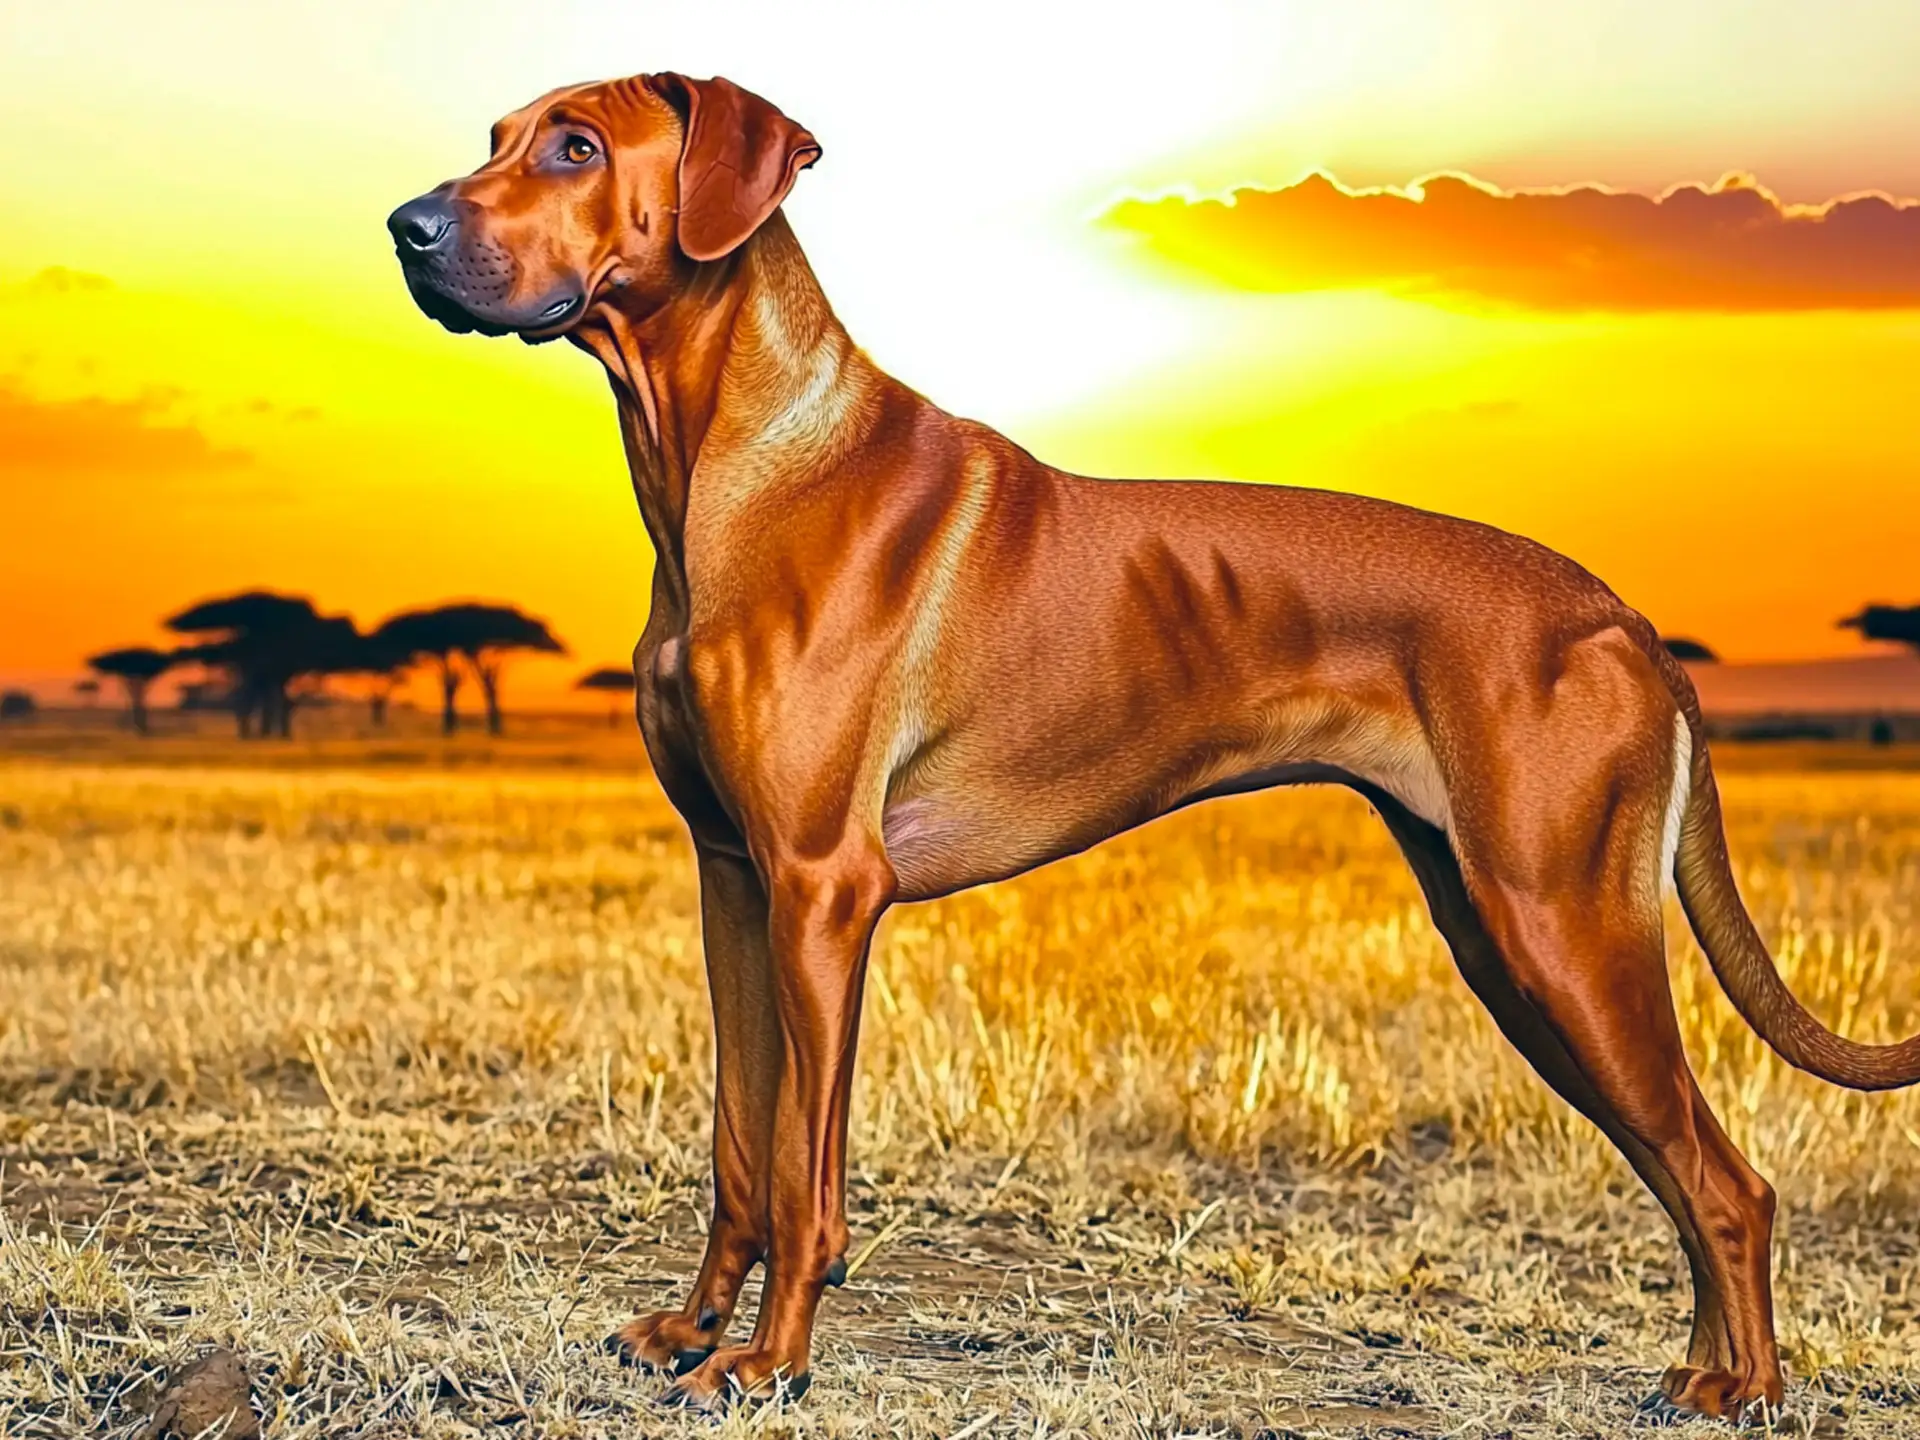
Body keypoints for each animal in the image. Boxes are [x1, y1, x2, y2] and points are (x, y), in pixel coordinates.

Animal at [389, 73, 1920, 1413]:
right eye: (498, 136)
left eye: (579, 148)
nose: (406, 225)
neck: (731, 463)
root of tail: (1629, 619)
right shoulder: (733, 879)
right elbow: (737, 1147)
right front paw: (693, 1330)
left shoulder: (824, 890)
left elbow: (808, 1173)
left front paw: (767, 1363)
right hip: (1511, 945)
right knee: (1687, 1173)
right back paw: (1701, 1372)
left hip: (1563, 936)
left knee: (1728, 1182)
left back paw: (1744, 1389)